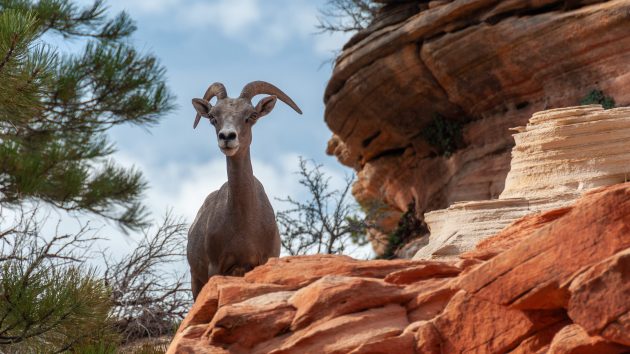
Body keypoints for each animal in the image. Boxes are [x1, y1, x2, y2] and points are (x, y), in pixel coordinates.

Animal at [186, 81, 302, 298]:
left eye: (251, 115)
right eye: (213, 117)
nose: (227, 137)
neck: (244, 225)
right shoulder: (216, 267)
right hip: (196, 280)